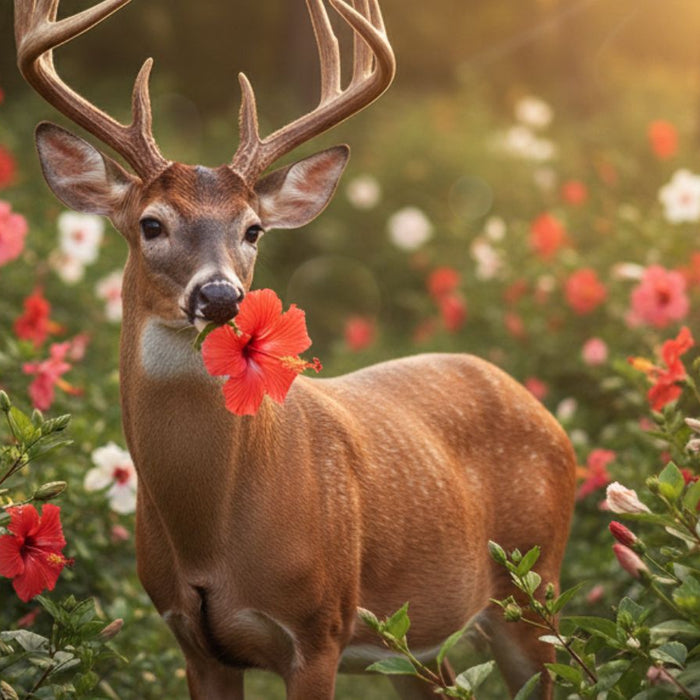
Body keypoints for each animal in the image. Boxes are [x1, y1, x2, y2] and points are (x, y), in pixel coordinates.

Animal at [14, 0, 577, 698]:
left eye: (253, 229)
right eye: (151, 223)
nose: (220, 295)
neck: (211, 536)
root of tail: (542, 409)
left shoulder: (318, 628)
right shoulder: (192, 640)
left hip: (535, 587)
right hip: (416, 644)